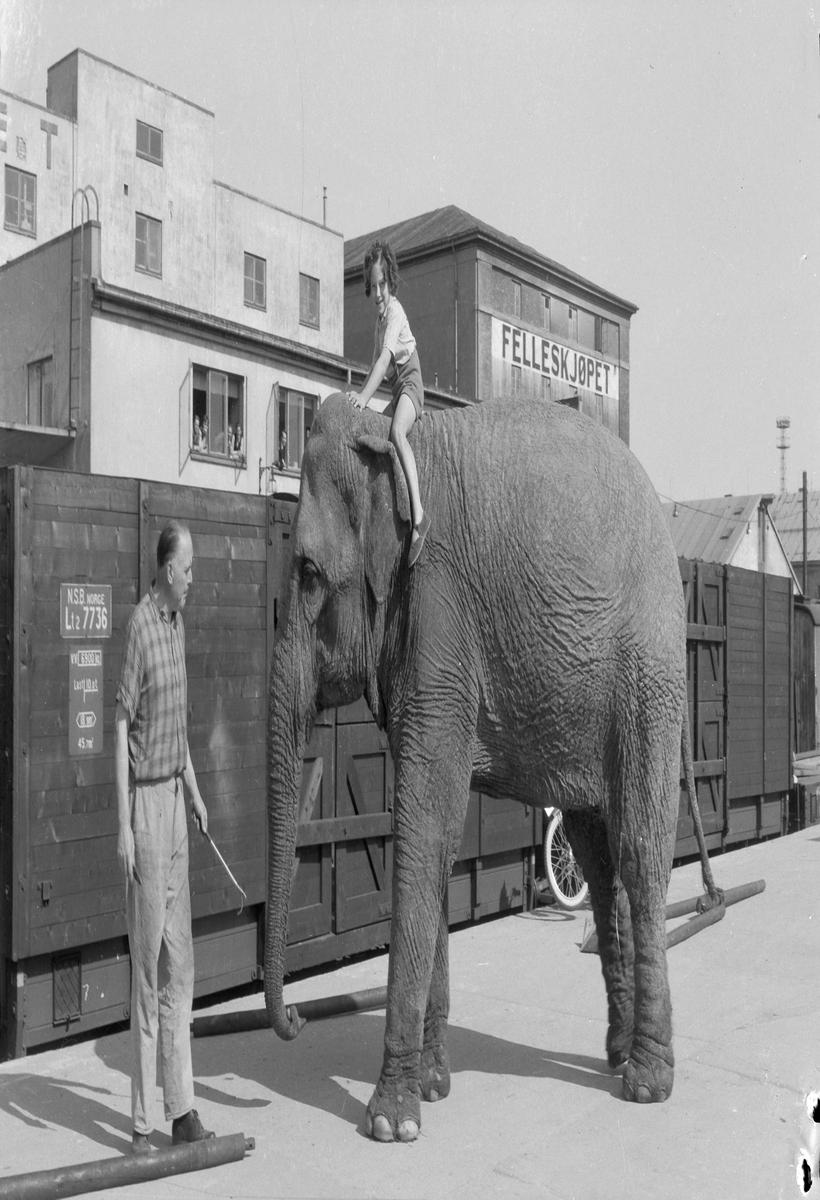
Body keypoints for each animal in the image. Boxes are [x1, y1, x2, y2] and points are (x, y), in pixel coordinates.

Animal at [262, 391, 720, 1142]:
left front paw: (391, 1122)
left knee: (640, 849)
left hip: (647, 674)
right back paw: (617, 1054)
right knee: (598, 860)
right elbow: (438, 838)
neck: (388, 437)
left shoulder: (439, 609)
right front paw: (432, 1085)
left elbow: (423, 827)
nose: (298, 1017)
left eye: (305, 571)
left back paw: (647, 1083)